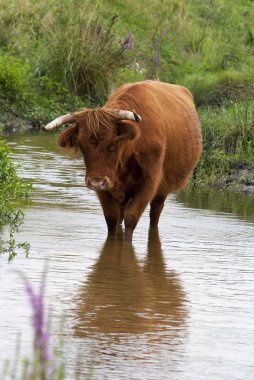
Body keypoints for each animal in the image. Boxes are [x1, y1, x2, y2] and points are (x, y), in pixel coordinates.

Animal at [44, 80, 202, 239]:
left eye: (113, 144)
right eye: (82, 146)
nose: (96, 182)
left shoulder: (150, 181)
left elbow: (131, 217)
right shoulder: (105, 185)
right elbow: (111, 218)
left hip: (163, 188)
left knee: (155, 213)